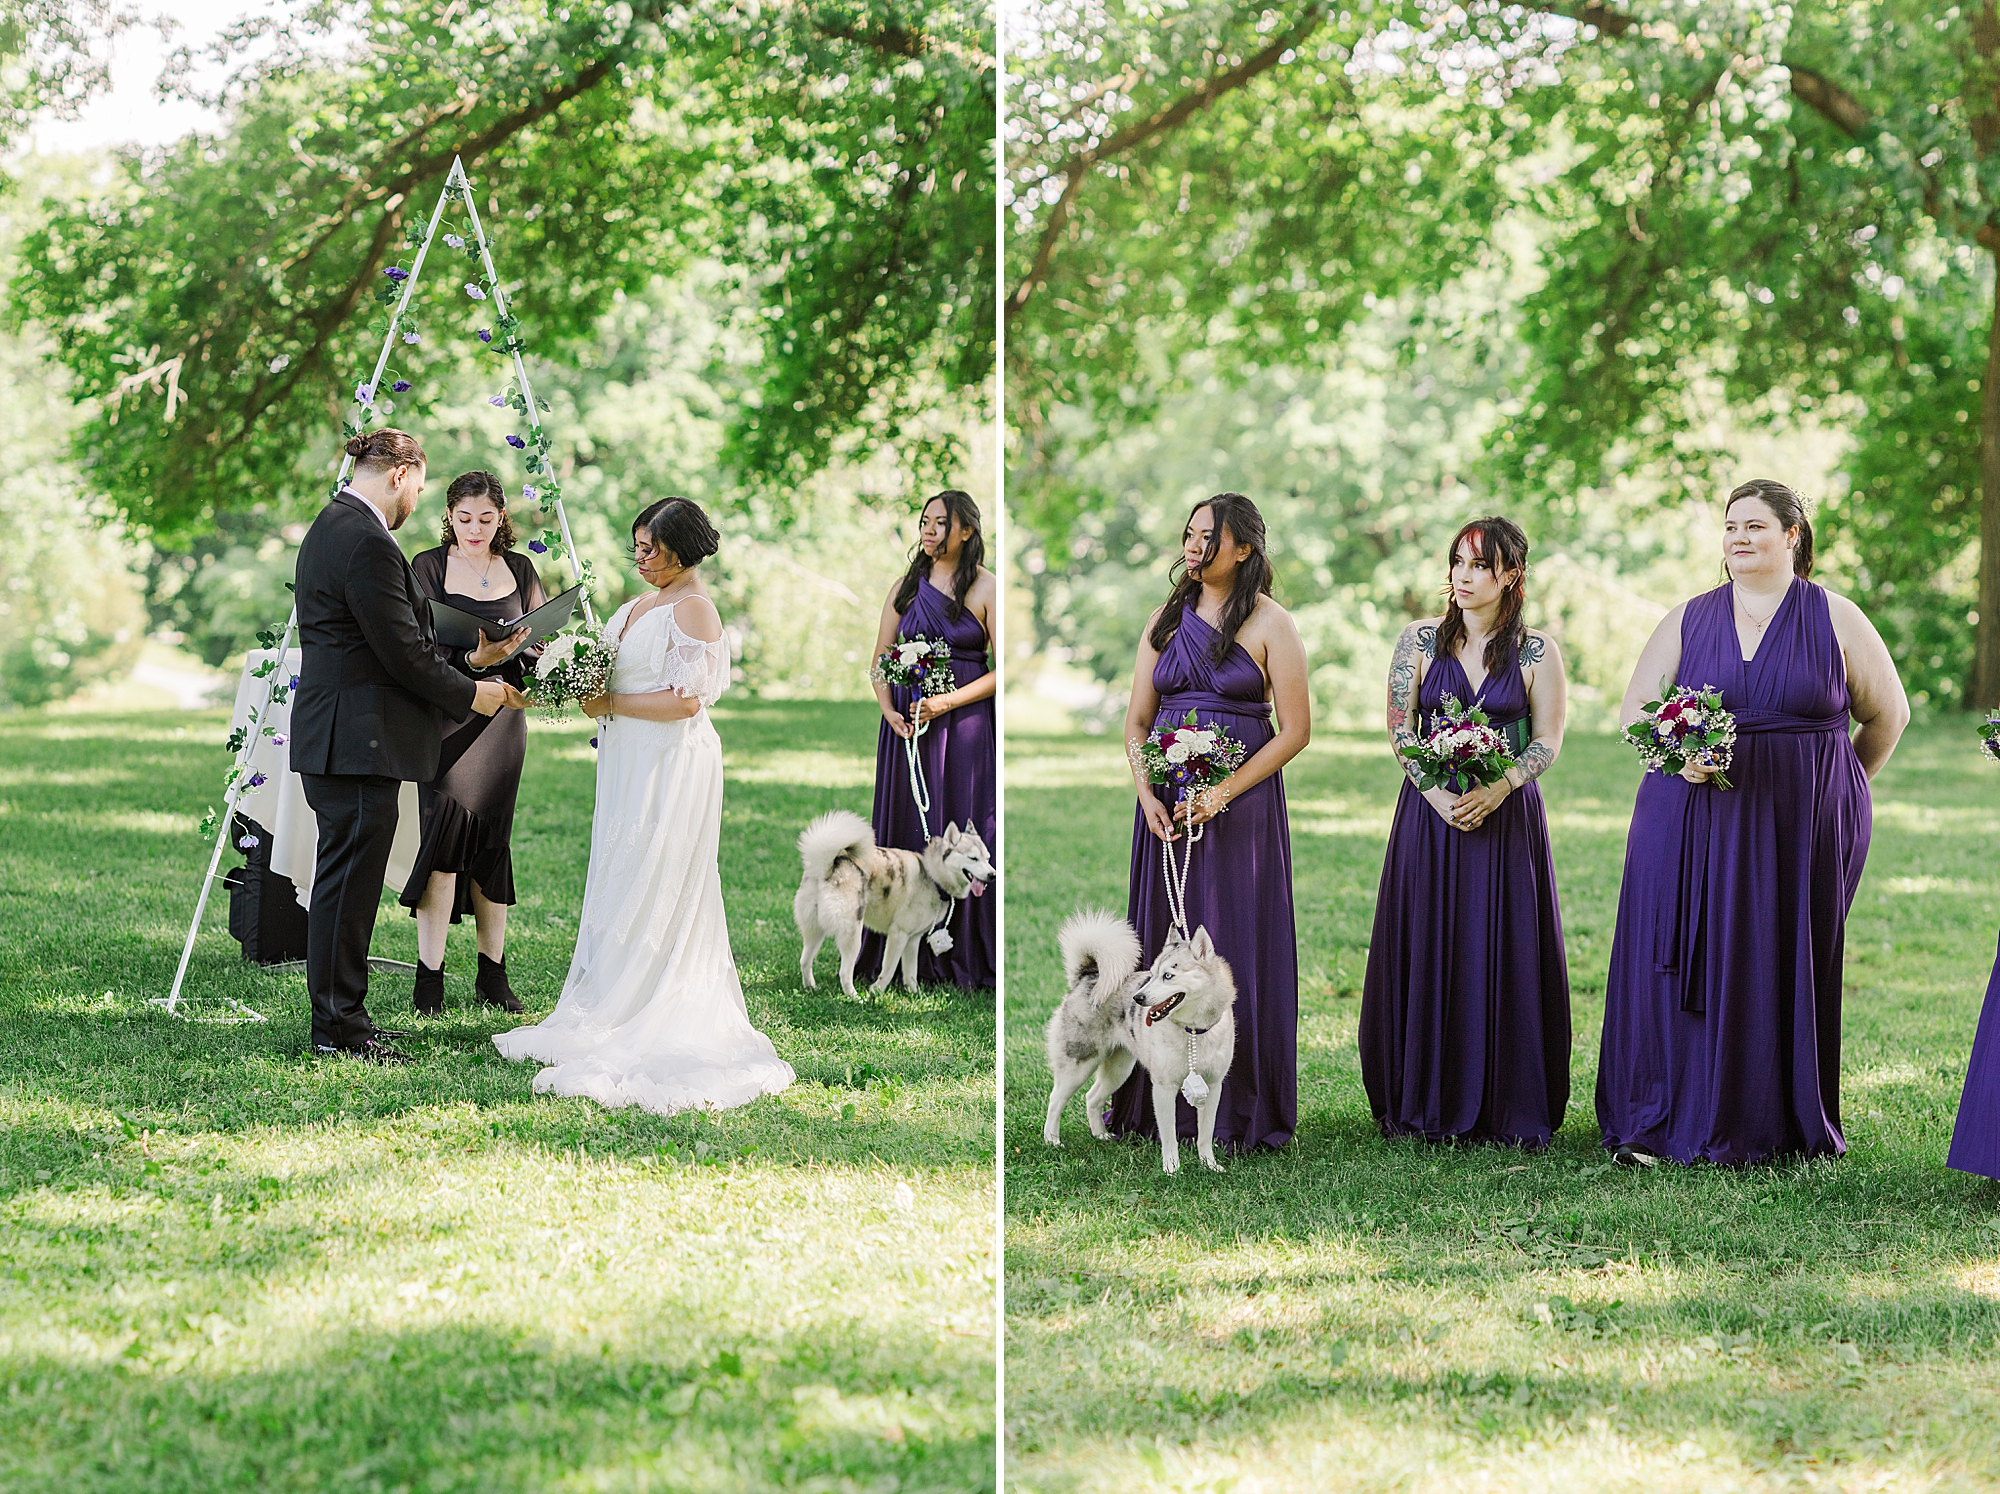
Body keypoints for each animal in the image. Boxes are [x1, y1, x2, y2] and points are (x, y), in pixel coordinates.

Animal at [788, 812, 992, 1000]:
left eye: (988, 858)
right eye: (973, 858)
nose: (993, 875)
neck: (932, 875)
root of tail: (827, 867)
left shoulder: (913, 940)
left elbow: (911, 973)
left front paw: (915, 994)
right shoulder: (898, 935)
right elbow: (889, 969)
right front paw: (875, 992)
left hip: (815, 931)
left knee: (804, 961)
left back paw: (811, 988)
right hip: (853, 935)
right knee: (844, 973)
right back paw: (856, 999)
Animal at [1048, 912, 1232, 1184]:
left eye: (1168, 975)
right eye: (1152, 974)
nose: (1138, 998)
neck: (1193, 1032)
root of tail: (1088, 976)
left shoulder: (1213, 1085)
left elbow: (1205, 1134)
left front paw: (1208, 1165)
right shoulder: (1163, 1088)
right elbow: (1169, 1135)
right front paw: (1171, 1169)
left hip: (1119, 1070)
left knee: (1092, 1097)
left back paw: (1100, 1135)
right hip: (1079, 1064)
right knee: (1055, 1099)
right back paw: (1051, 1140)